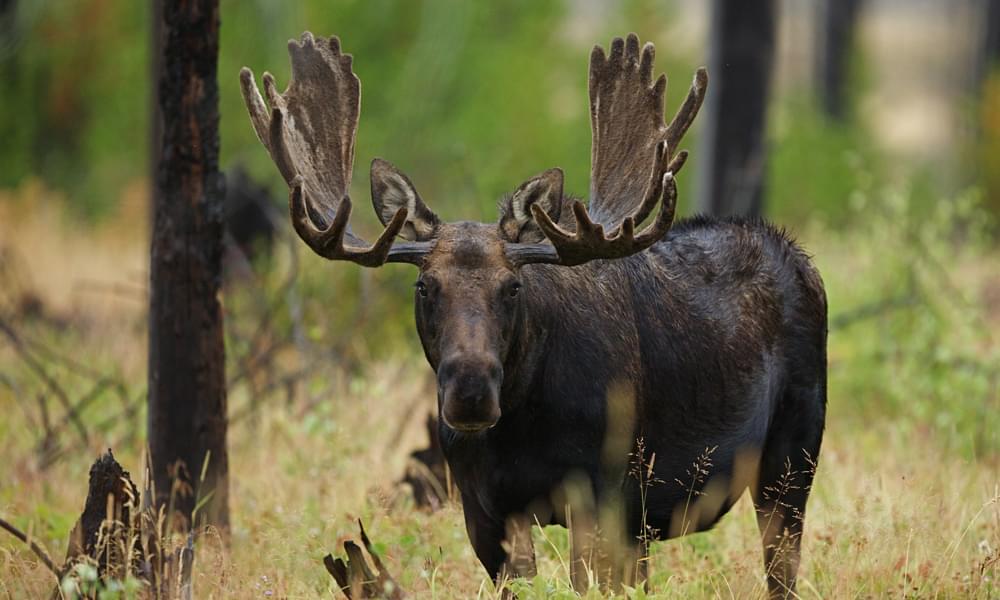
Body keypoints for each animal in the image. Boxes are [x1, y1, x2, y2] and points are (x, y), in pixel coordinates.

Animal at [240, 32, 827, 598]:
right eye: (424, 285)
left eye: (513, 287)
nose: (471, 391)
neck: (520, 428)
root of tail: (800, 257)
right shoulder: (485, 509)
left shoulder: (599, 491)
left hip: (792, 454)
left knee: (782, 568)